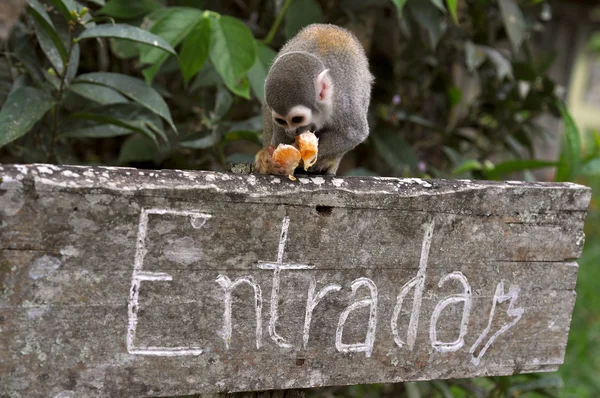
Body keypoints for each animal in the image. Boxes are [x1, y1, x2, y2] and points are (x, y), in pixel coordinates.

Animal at [254, 22, 376, 176]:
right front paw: (273, 163)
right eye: (282, 121)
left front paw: (300, 156)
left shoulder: (344, 105)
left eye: (297, 119)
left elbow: (354, 133)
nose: (291, 132)